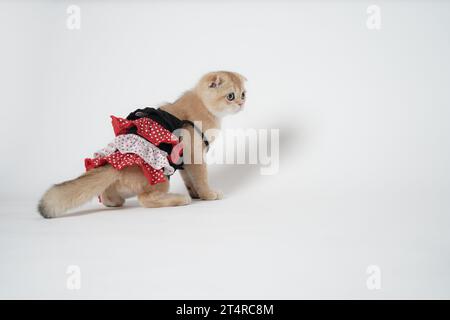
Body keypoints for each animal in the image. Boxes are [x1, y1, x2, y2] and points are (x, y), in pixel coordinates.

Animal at [37, 71, 246, 219]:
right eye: (230, 96)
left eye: (244, 94)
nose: (242, 103)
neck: (202, 105)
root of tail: (113, 166)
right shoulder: (194, 155)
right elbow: (201, 179)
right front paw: (208, 194)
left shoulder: (184, 161)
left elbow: (190, 180)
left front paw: (196, 194)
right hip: (161, 177)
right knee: (145, 200)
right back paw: (179, 199)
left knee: (109, 197)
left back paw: (114, 201)